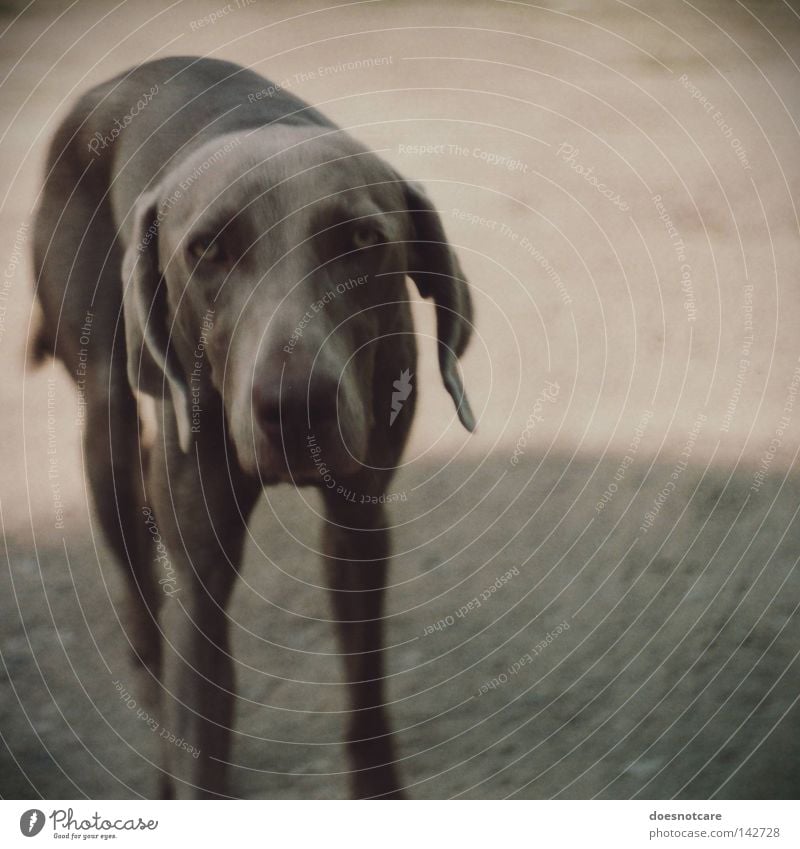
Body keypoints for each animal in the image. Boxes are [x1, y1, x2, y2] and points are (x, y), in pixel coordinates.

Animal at [31, 56, 476, 800]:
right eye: (207, 250)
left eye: (361, 241)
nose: (295, 406)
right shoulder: (201, 569)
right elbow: (201, 724)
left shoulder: (360, 521)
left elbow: (365, 693)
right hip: (104, 407)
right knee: (143, 624)